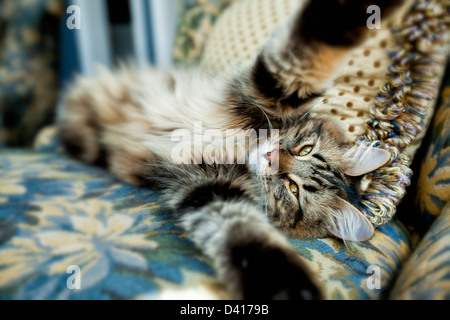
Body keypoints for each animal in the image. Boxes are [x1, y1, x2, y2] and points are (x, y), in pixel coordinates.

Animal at [57, 0, 400, 300]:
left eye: (292, 189)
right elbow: (311, 48)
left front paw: (289, 289)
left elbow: (245, 238)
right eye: (304, 149)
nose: (271, 158)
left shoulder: (211, 185)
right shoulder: (266, 91)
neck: (241, 147)